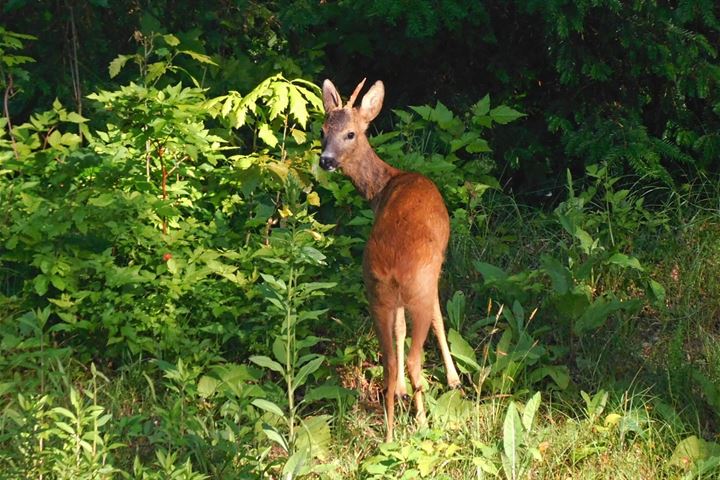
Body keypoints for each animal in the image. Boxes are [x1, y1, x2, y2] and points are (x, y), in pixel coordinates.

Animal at [320, 79, 462, 442]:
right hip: (417, 287)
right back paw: (421, 422)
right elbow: (440, 318)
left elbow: (399, 332)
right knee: (413, 357)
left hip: (376, 293)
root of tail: (394, 267)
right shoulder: (437, 270)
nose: (325, 160)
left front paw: (400, 392)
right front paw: (453, 378)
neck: (386, 184)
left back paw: (389, 433)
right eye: (323, 130)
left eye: (349, 133)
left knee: (389, 361)